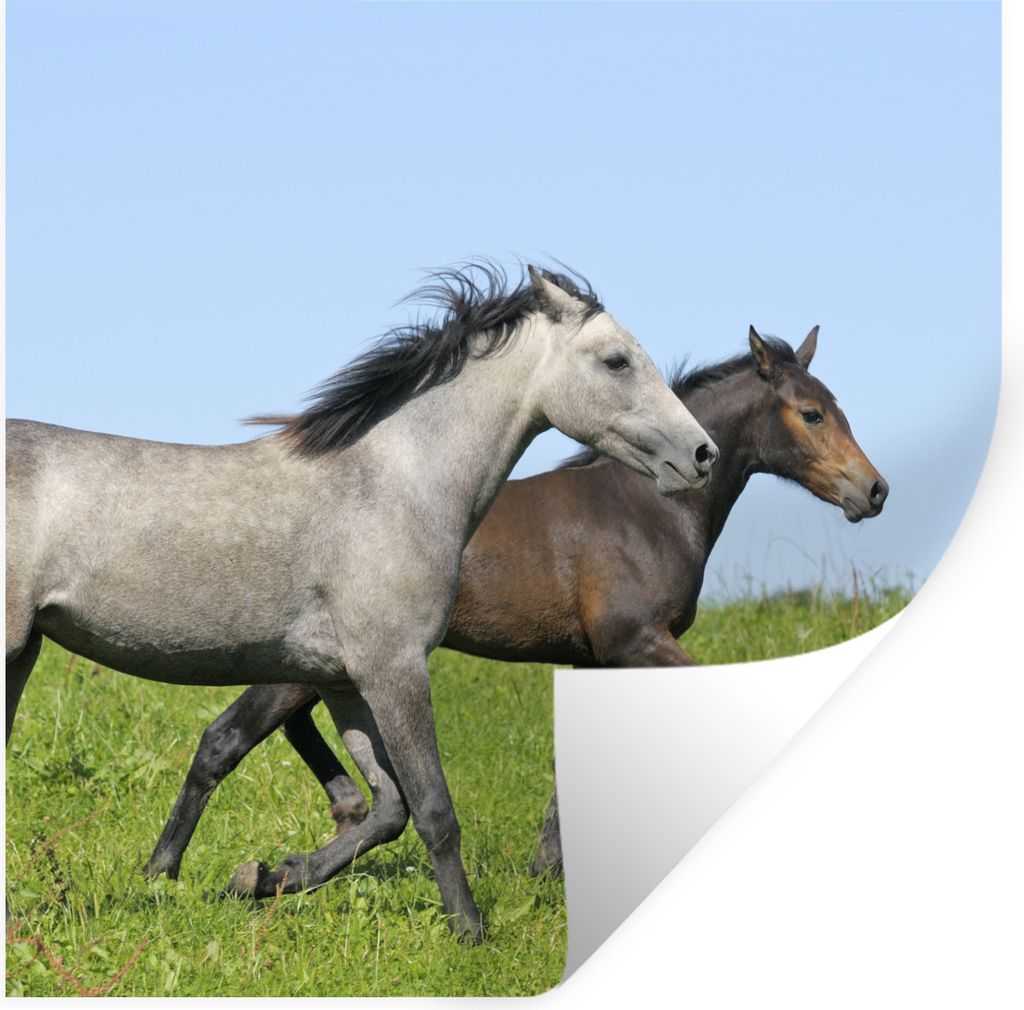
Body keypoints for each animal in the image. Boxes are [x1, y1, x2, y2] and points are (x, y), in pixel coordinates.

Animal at [5, 262, 719, 943]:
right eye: (617, 360)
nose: (702, 453)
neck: (394, 487)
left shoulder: (345, 681)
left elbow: (387, 809)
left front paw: (267, 877)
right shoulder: (394, 669)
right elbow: (433, 808)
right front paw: (470, 933)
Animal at [140, 324, 888, 883]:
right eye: (812, 414)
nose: (873, 491)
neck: (645, 510)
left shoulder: (595, 660)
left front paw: (545, 871)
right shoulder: (636, 641)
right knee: (226, 738)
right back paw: (189, 872)